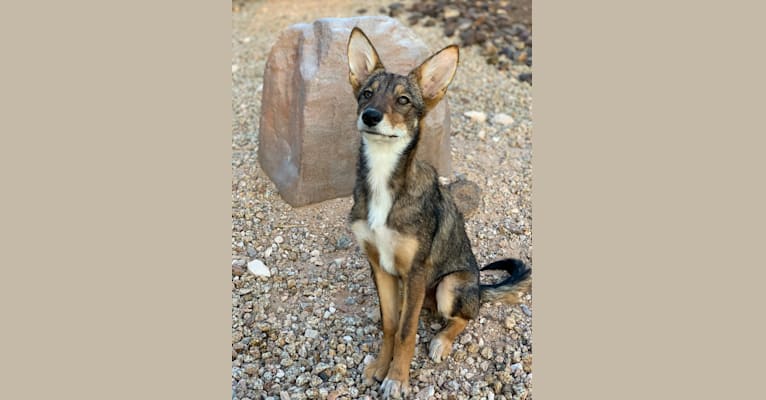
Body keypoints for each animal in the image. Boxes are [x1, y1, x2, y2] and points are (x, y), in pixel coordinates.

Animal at [350, 27, 536, 396]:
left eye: (403, 100)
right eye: (366, 94)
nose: (370, 116)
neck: (384, 179)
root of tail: (479, 287)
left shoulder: (417, 270)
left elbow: (406, 332)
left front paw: (397, 378)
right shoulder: (379, 266)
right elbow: (390, 324)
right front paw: (380, 366)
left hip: (449, 286)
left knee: (464, 316)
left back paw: (441, 341)